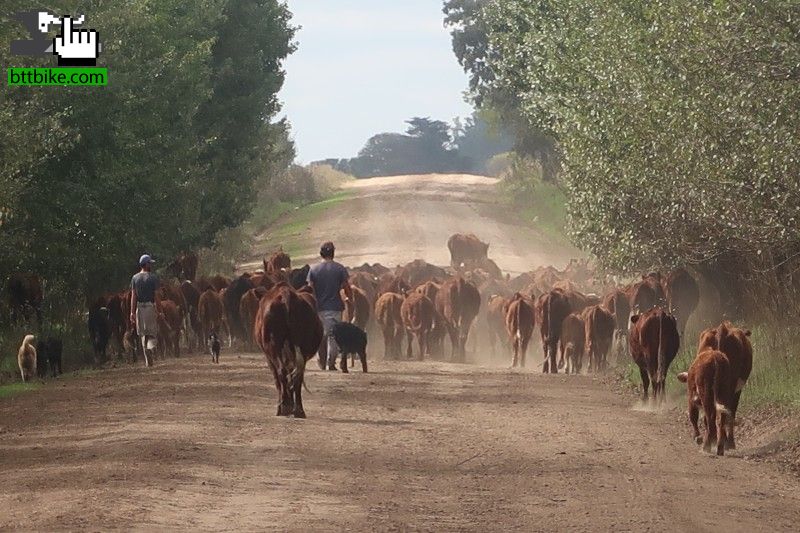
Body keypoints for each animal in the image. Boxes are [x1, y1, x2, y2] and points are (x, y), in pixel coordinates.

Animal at [253, 282, 322, 416]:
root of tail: (286, 294)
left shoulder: (269, 358)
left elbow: (278, 379)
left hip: (273, 345)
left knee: (282, 372)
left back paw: (285, 407)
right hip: (301, 347)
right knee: (297, 375)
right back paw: (298, 410)